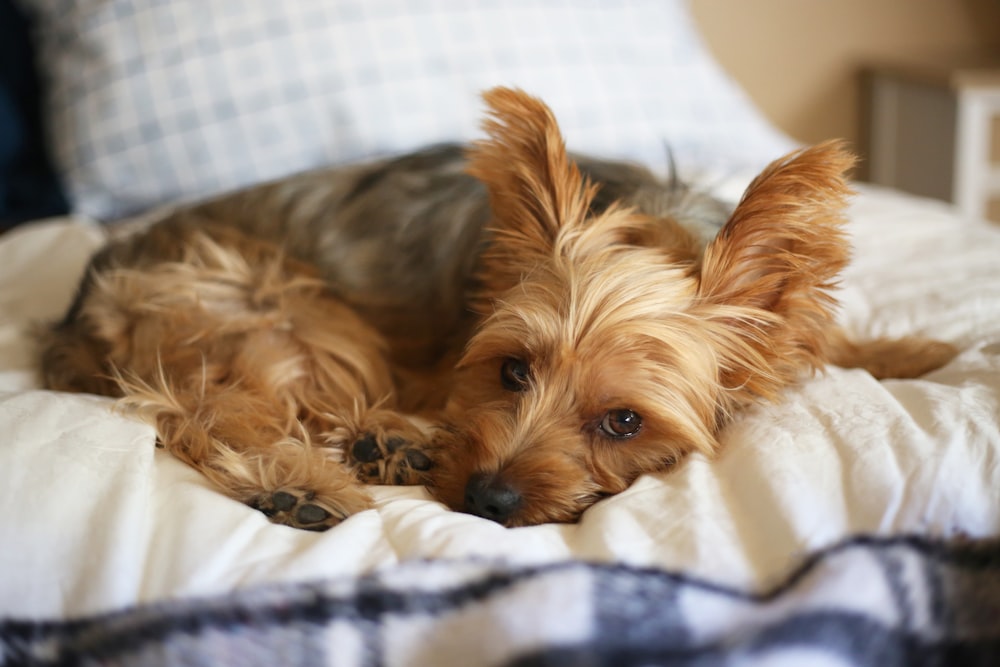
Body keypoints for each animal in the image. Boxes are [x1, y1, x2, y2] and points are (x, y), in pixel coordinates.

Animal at [39, 86, 956, 528]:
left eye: (624, 422)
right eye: (511, 371)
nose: (487, 499)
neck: (653, 222)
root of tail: (79, 300)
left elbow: (823, 343)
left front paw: (914, 353)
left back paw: (386, 444)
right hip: (279, 308)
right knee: (209, 406)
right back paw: (308, 477)